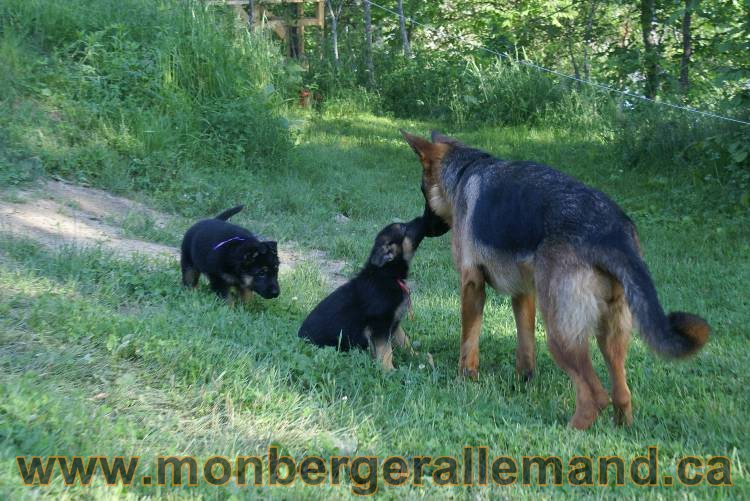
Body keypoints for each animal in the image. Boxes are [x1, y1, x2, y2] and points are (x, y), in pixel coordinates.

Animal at [300, 217, 428, 370]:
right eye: (403, 228)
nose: (421, 218)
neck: (387, 274)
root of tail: (299, 337)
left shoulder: (394, 322)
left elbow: (405, 341)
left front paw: (417, 357)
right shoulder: (380, 324)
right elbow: (385, 350)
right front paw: (388, 370)